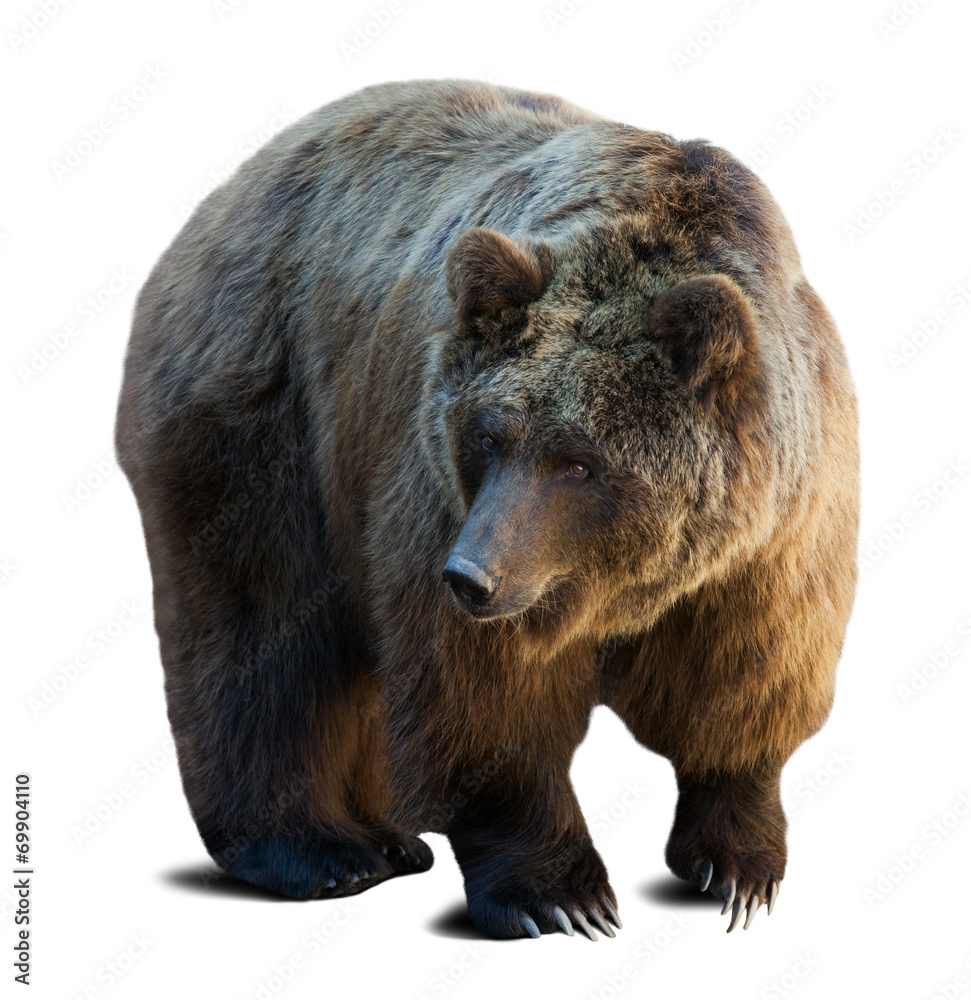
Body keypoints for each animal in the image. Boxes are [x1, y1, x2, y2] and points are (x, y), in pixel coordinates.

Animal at [115, 78, 859, 939]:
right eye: (489, 435)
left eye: (580, 460)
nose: (470, 576)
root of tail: (221, 196)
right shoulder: (440, 497)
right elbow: (482, 697)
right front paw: (559, 895)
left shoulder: (766, 543)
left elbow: (742, 679)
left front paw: (735, 869)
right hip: (268, 415)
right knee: (262, 624)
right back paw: (321, 851)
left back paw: (390, 837)